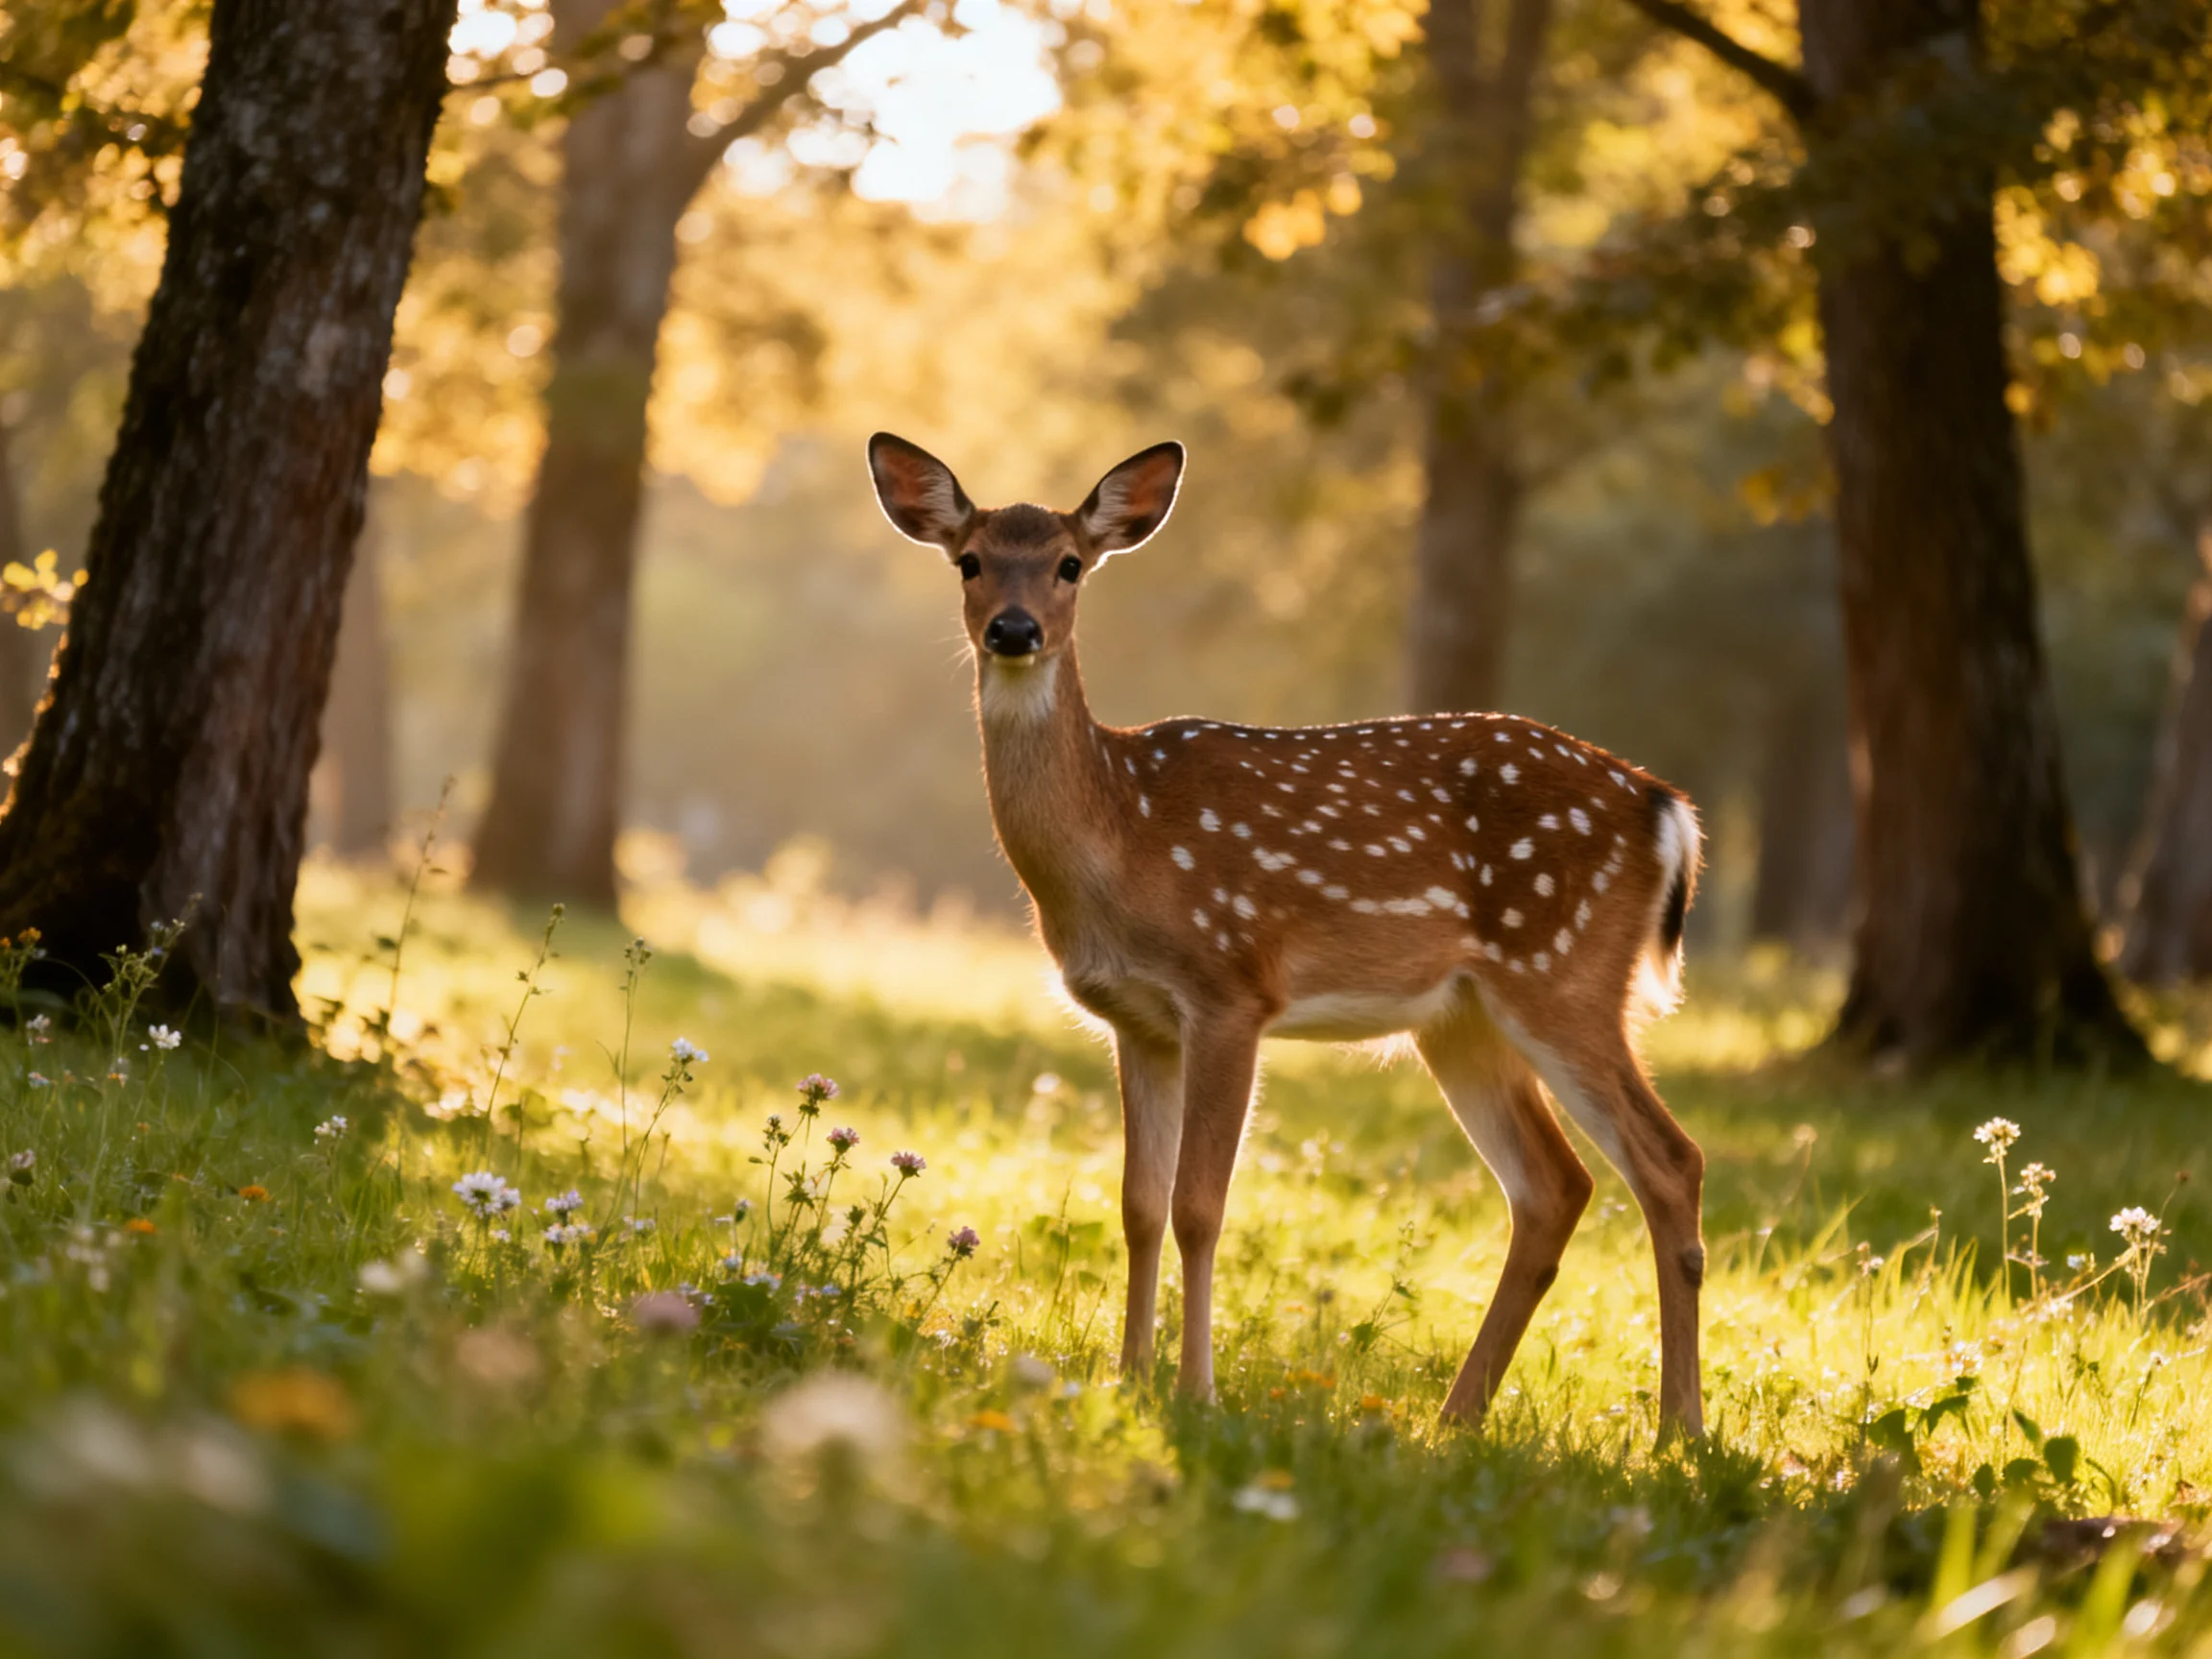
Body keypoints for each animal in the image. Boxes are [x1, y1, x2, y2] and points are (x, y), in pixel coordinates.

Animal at [867, 434, 1709, 1436]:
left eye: (1070, 564)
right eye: (970, 561)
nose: (1014, 630)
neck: (1118, 835)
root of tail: (1668, 810)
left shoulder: (1230, 988)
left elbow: (1199, 1205)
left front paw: (1194, 1391)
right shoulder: (1137, 1020)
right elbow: (1138, 1204)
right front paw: (1126, 1379)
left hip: (1565, 971)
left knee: (1670, 1160)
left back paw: (1679, 1430)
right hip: (1462, 1019)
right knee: (1555, 1187)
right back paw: (1454, 1419)